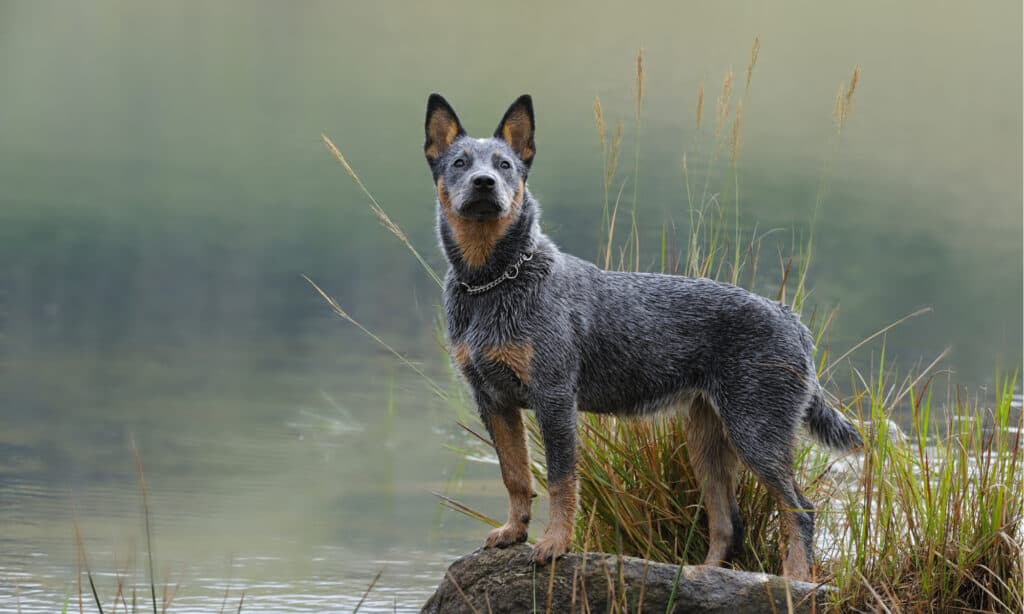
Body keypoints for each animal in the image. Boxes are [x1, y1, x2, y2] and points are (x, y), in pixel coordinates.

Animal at [423, 92, 864, 581]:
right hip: (707, 439)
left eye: (504, 165)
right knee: (729, 521)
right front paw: (514, 532)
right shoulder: (493, 401)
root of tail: (792, 319)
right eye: (460, 162)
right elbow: (515, 475)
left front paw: (555, 543)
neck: (492, 284)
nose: (483, 183)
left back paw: (796, 579)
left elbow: (560, 481)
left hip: (756, 432)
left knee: (799, 509)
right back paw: (701, 574)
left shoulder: (553, 398)